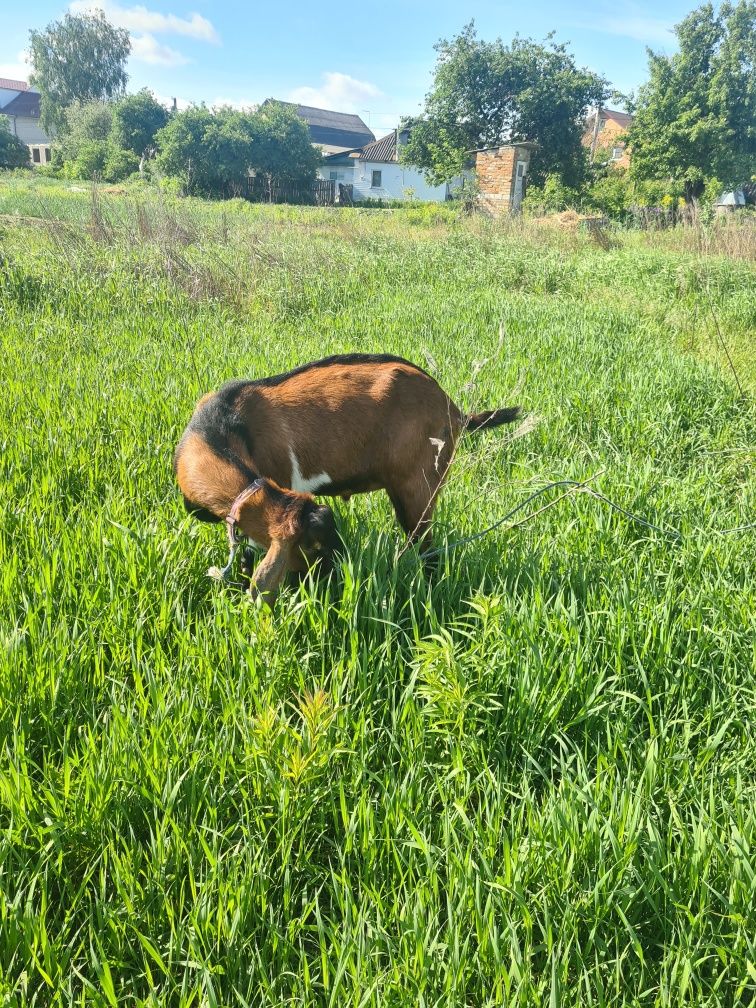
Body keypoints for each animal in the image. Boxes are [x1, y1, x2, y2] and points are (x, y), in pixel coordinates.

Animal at [176, 354, 520, 600]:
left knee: (426, 544)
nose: (336, 583)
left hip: (419, 483)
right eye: (312, 547)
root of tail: (453, 408)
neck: (217, 432)